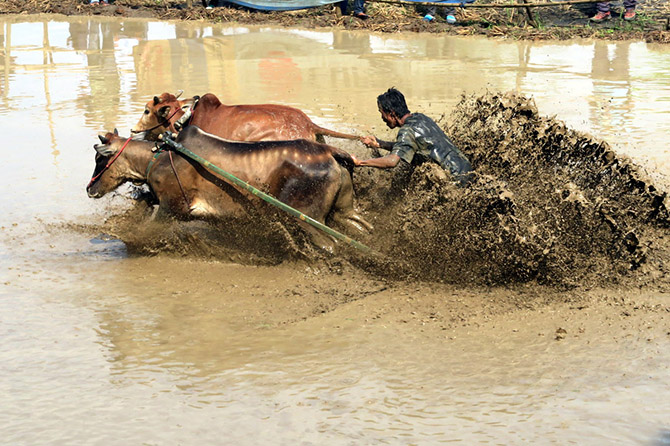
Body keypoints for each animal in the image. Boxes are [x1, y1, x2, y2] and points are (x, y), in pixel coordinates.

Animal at [86, 126, 372, 251]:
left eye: (100, 158)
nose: (90, 189)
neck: (156, 158)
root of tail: (331, 152)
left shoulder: (171, 207)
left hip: (306, 218)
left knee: (330, 245)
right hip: (344, 211)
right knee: (363, 229)